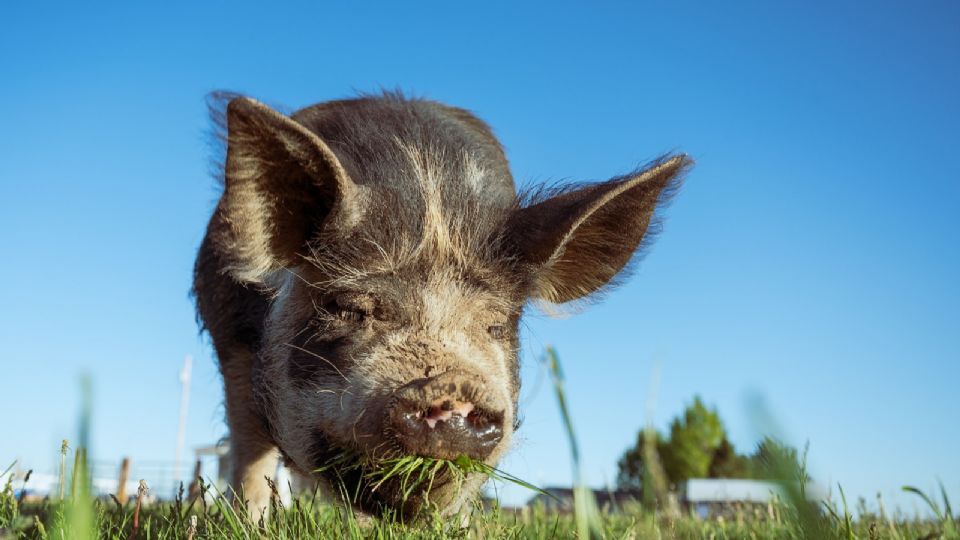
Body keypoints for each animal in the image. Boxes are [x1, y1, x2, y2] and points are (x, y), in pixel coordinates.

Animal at [193, 93, 688, 520]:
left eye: (497, 324)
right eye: (348, 307)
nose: (451, 385)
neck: (430, 198)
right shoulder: (232, 340)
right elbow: (249, 454)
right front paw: (249, 522)